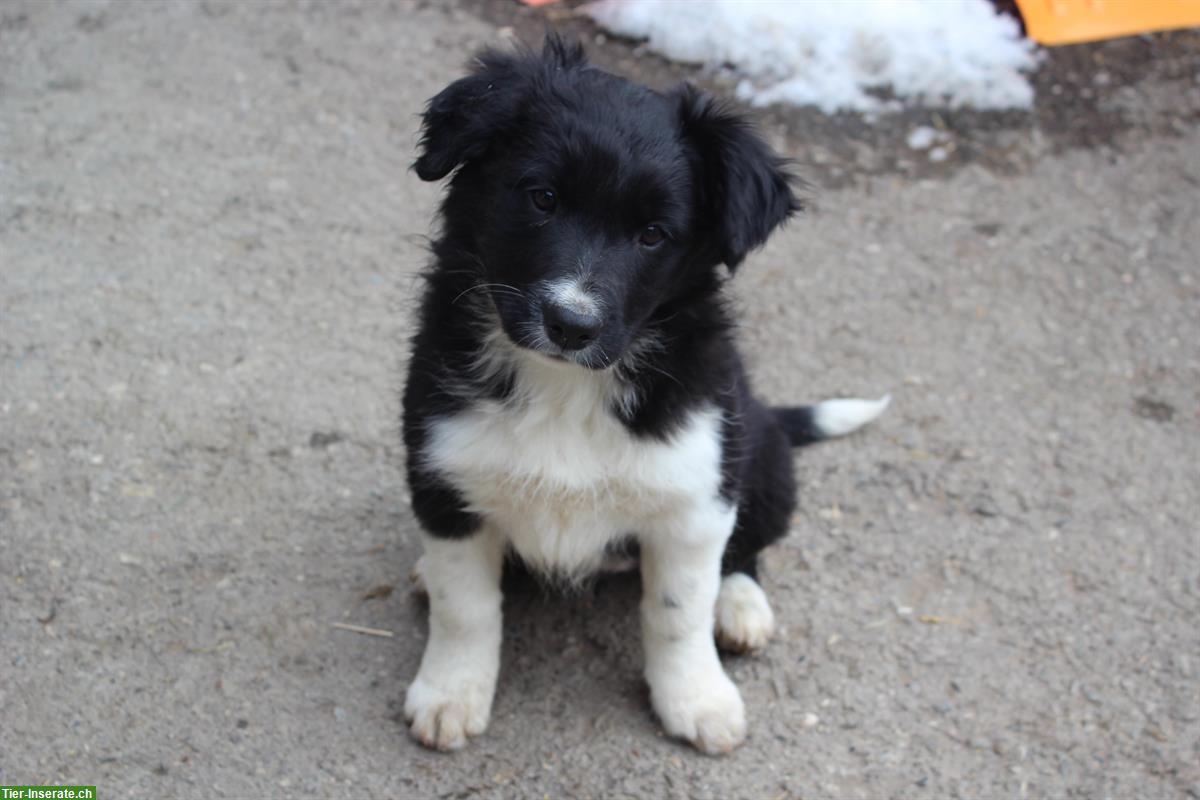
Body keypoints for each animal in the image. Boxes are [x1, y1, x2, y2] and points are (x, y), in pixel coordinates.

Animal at [400, 38, 883, 758]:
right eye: (542, 198)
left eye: (653, 234)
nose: (571, 324)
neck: (566, 386)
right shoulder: (444, 479)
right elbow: (467, 607)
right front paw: (450, 693)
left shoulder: (695, 499)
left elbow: (677, 612)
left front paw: (697, 700)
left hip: (758, 456)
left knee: (748, 551)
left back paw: (740, 607)